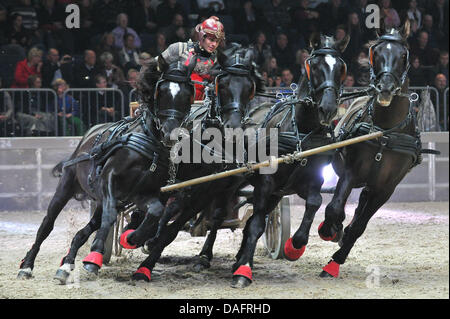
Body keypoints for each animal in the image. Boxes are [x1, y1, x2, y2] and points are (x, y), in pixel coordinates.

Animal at [17, 56, 197, 282]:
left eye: (188, 93)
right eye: (161, 91)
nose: (171, 133)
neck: (150, 145)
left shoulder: (142, 194)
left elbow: (155, 212)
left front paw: (132, 237)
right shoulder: (109, 179)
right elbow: (110, 216)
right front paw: (94, 257)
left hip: (101, 200)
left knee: (85, 230)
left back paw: (66, 264)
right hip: (66, 187)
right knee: (47, 225)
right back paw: (27, 265)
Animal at [230, 33, 350, 288]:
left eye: (341, 68)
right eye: (314, 66)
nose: (328, 108)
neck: (300, 133)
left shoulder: (310, 181)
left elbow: (314, 202)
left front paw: (295, 245)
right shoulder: (266, 184)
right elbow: (256, 225)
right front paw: (243, 273)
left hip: (276, 195)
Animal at [318, 21, 428, 278]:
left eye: (404, 55)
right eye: (375, 53)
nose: (385, 88)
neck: (384, 133)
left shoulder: (385, 188)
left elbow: (360, 225)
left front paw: (336, 260)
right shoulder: (350, 173)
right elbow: (334, 208)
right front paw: (330, 229)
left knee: (361, 210)